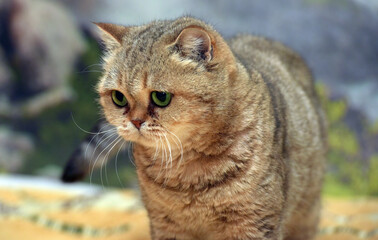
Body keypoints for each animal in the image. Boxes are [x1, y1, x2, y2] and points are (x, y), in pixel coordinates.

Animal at [65, 17, 328, 240]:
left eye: (161, 97)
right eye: (119, 98)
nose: (135, 121)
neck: (189, 172)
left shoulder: (254, 223)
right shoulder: (166, 225)